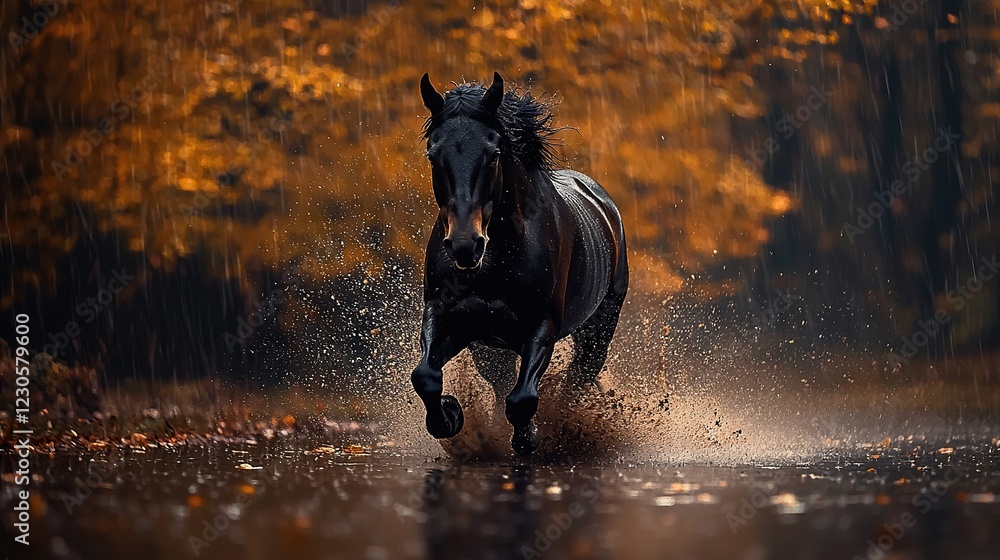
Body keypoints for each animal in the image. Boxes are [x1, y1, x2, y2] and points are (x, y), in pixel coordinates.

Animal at [410, 72, 628, 456]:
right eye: (433, 155)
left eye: (494, 154)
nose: (465, 246)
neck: (494, 262)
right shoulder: (448, 315)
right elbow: (426, 376)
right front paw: (449, 416)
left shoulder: (541, 327)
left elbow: (522, 399)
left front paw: (528, 438)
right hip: (490, 348)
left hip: (597, 330)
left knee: (576, 381)